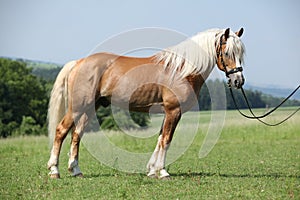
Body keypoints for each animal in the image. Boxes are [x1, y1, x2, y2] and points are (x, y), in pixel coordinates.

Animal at [47, 27, 246, 179]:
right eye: (227, 53)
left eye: (241, 54)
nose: (238, 81)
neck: (181, 70)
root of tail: (78, 62)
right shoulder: (174, 111)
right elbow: (166, 140)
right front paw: (163, 172)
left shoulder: (168, 113)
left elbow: (160, 139)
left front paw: (152, 170)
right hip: (77, 107)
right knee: (61, 130)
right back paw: (54, 170)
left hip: (90, 108)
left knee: (76, 135)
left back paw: (76, 170)